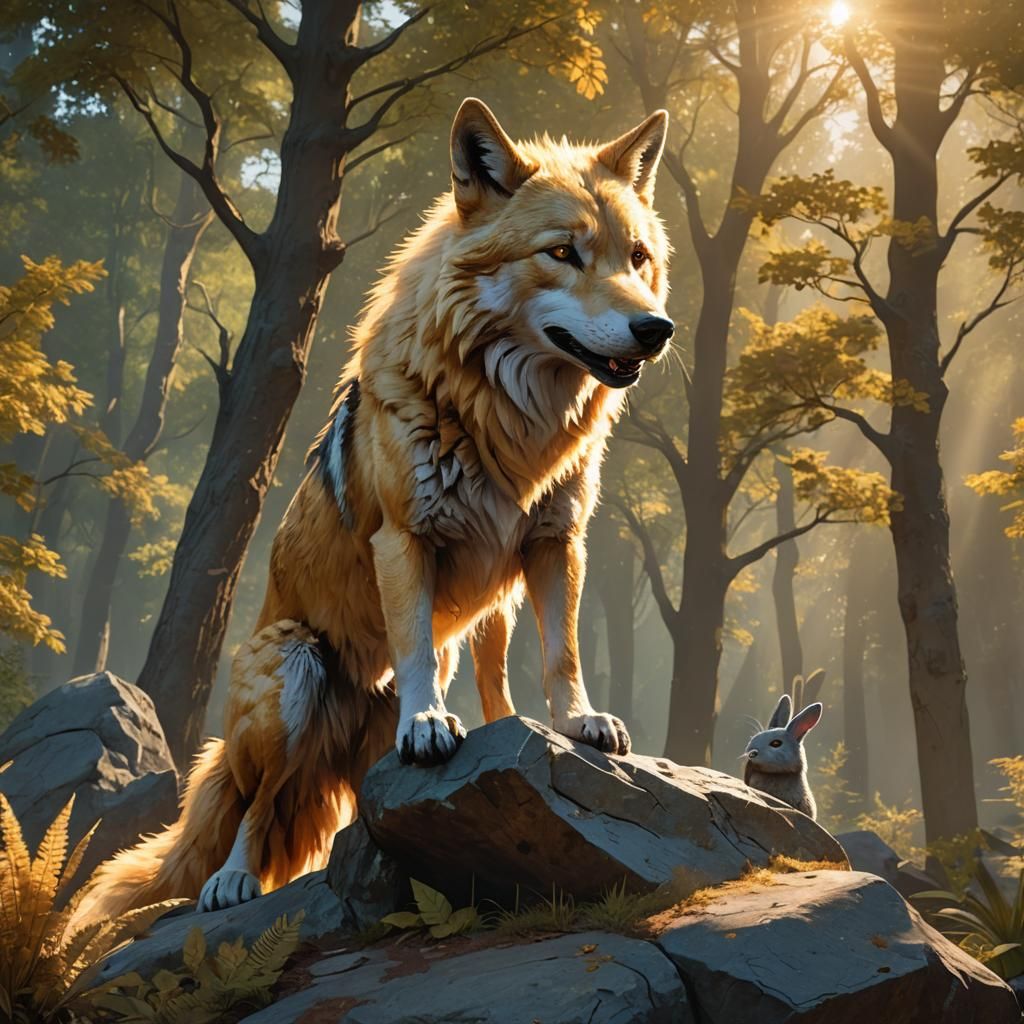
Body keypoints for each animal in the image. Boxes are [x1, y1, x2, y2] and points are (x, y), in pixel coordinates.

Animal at [82, 98, 674, 920]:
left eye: (637, 258)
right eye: (563, 253)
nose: (657, 329)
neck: (507, 420)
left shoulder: (552, 546)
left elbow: (557, 655)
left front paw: (577, 723)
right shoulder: (404, 541)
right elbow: (417, 648)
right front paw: (426, 724)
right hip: (292, 674)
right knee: (258, 806)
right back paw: (232, 881)